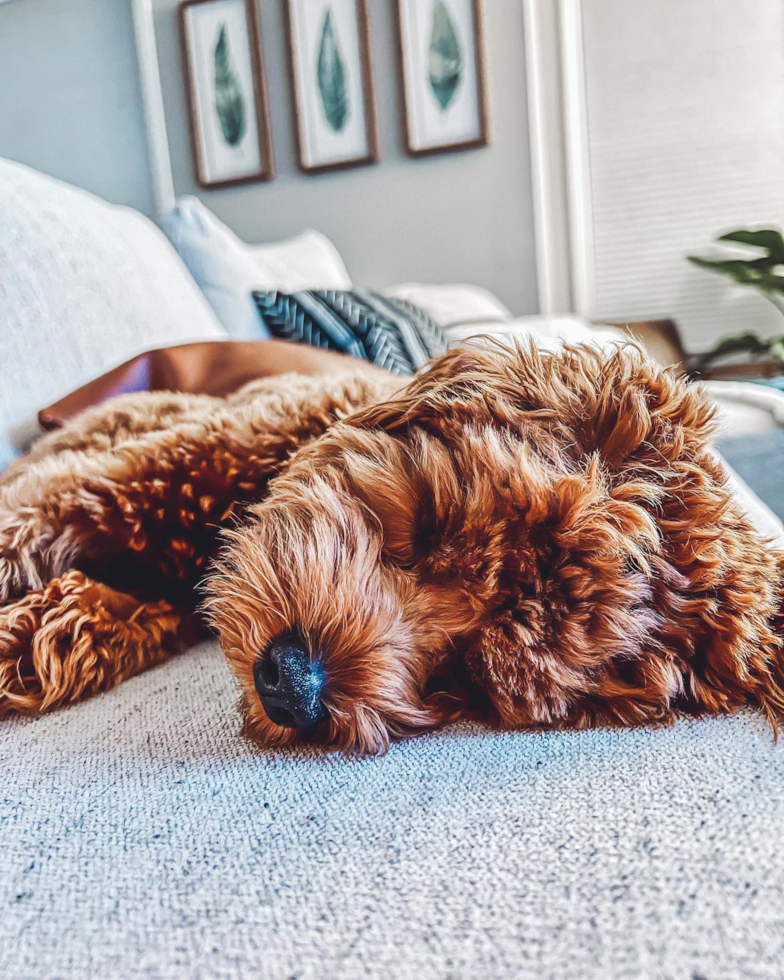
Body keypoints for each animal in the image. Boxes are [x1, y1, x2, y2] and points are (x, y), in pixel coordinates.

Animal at [1, 340, 784, 756]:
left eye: (472, 675)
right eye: (433, 527)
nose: (293, 686)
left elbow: (107, 620)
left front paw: (29, 639)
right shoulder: (158, 471)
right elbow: (41, 512)